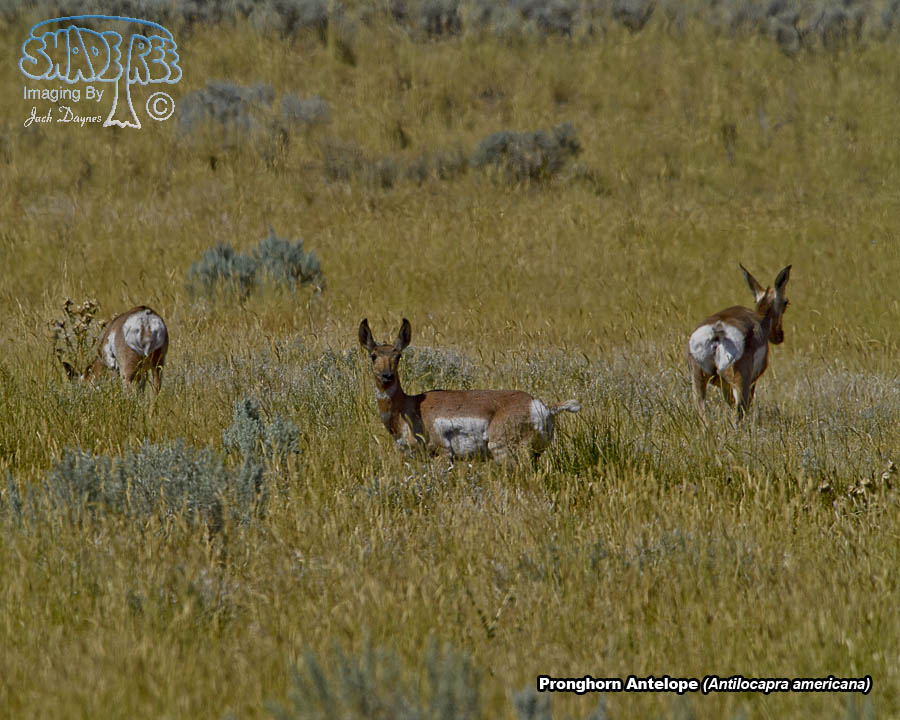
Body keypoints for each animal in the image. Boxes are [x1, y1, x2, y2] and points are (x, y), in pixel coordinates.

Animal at [358, 318, 581, 463]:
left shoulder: (442, 455)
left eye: (398, 356)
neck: (409, 406)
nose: (387, 376)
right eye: (373, 355)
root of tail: (539, 405)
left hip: (506, 452)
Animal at [687, 264, 791, 422]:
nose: (779, 336)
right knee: (738, 412)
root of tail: (716, 331)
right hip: (740, 383)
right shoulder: (752, 381)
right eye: (785, 303)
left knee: (702, 414)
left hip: (699, 382)